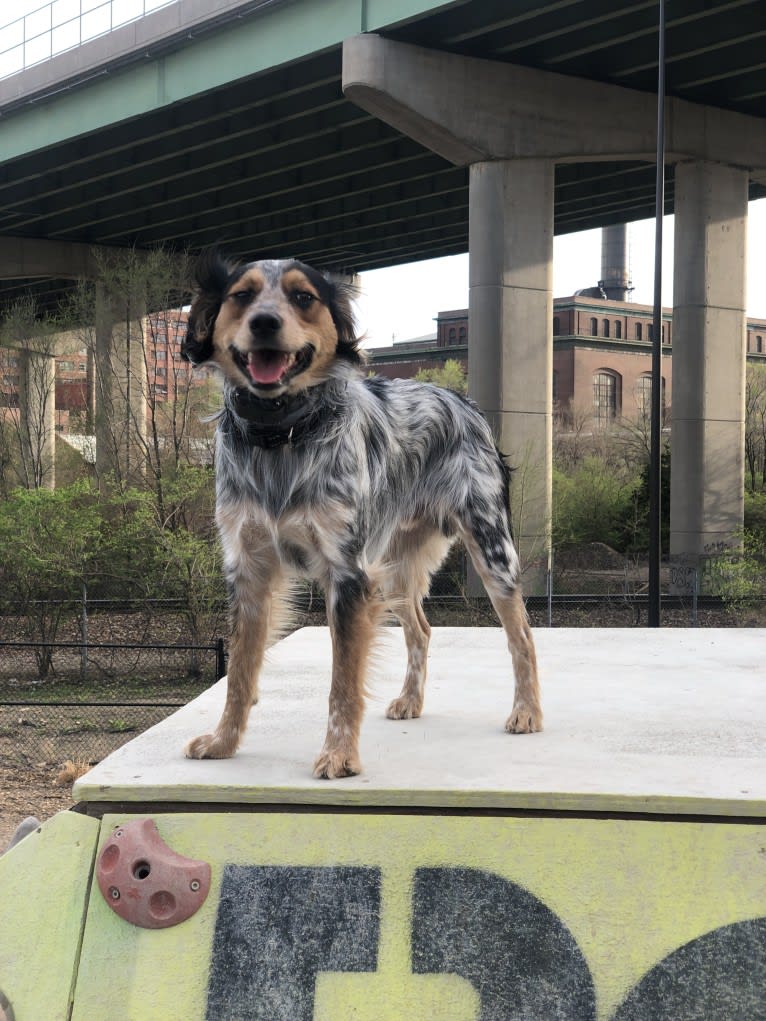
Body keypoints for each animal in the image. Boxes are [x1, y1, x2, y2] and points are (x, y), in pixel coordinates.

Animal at [181, 251, 543, 775]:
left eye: (303, 297)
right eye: (242, 295)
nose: (265, 322)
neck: (280, 435)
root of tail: (463, 400)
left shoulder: (348, 573)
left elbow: (342, 682)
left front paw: (339, 754)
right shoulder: (248, 570)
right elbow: (239, 672)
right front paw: (224, 742)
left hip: (491, 549)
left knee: (523, 636)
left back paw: (527, 711)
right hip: (394, 563)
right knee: (422, 628)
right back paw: (410, 700)